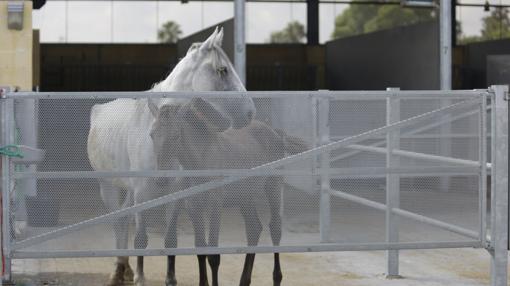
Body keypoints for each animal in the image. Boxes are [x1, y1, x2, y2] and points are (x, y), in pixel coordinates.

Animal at [88, 28, 256, 286]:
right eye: (223, 70)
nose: (250, 112)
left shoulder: (175, 192)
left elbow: (170, 239)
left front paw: (170, 279)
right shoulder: (141, 194)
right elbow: (141, 239)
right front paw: (141, 279)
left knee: (123, 221)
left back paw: (125, 269)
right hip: (108, 186)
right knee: (118, 222)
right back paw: (118, 272)